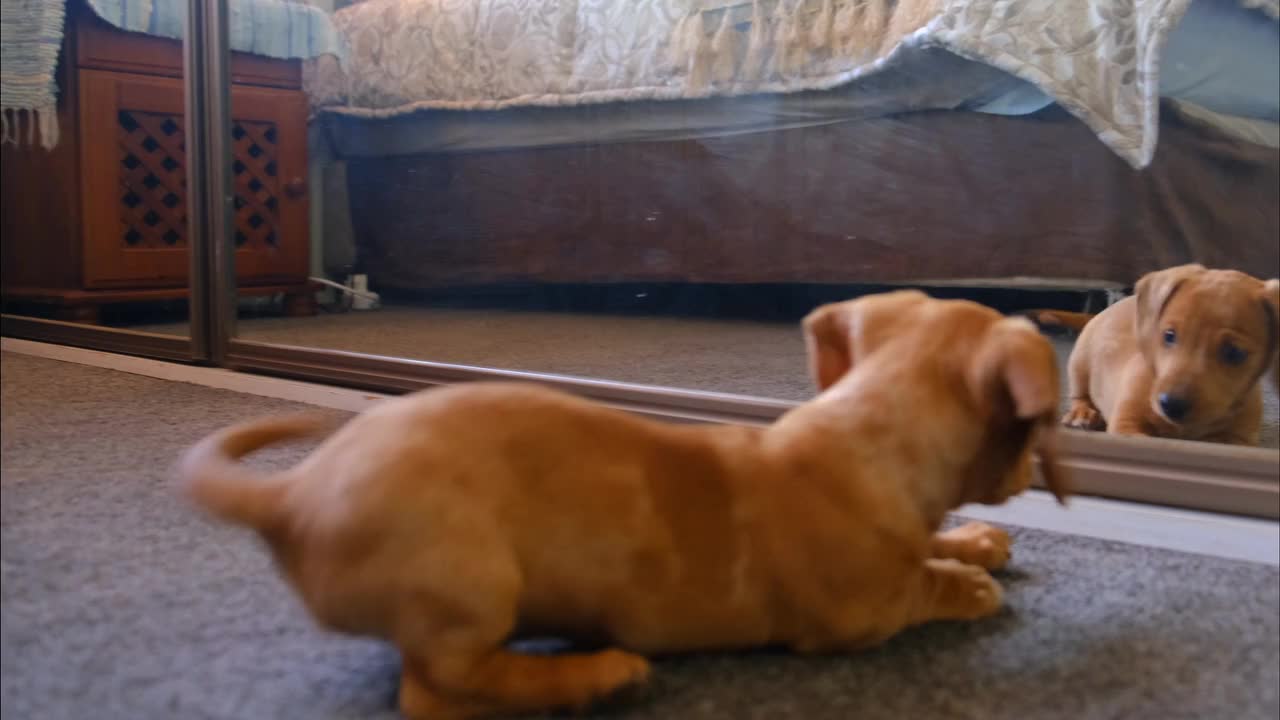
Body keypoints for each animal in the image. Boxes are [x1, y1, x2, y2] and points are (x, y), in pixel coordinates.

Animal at [175, 289, 1064, 717]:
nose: (1026, 477)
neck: (865, 433)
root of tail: (292, 495)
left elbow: (932, 540)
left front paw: (975, 541)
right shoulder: (859, 615)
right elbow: (920, 586)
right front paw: (968, 584)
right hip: (470, 587)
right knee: (438, 694)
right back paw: (593, 675)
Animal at [1039, 263, 1280, 443]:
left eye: (1235, 353)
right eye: (1169, 335)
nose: (1171, 405)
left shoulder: (1237, 439)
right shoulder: (1127, 424)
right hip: (1079, 362)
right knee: (1080, 394)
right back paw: (1083, 413)